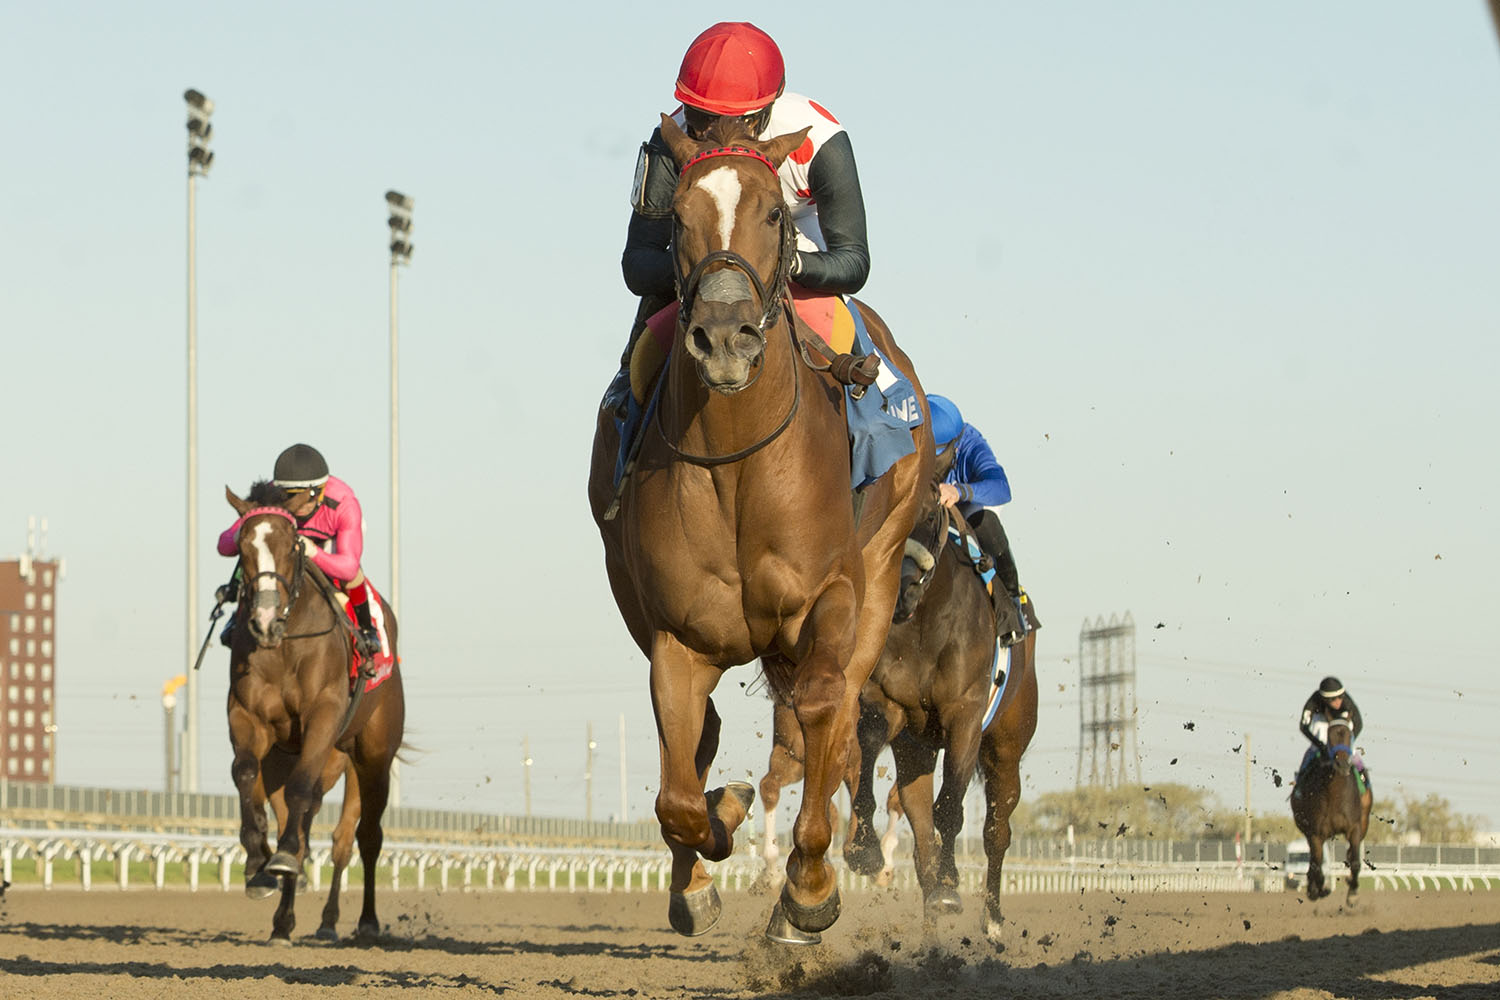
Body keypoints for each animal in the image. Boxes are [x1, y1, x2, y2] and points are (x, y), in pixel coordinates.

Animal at [222, 485, 405, 947]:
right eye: (242, 548)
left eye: (292, 546)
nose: (264, 621)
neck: (285, 645)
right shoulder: (246, 716)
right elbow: (246, 775)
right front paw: (258, 866)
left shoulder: (323, 716)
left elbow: (303, 794)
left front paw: (282, 860)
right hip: (286, 756)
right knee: (297, 819)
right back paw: (283, 922)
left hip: (372, 757)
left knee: (363, 836)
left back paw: (364, 922)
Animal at [588, 113, 930, 941]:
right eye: (677, 216)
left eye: (775, 214)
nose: (724, 337)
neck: (740, 457)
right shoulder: (678, 635)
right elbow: (679, 792)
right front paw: (715, 843)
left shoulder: (830, 598)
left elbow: (826, 714)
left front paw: (807, 891)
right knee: (700, 742)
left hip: (880, 575)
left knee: (837, 715)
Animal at [840, 491, 1038, 947]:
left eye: (931, 516)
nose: (899, 591)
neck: (925, 623)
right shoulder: (886, 706)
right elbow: (868, 752)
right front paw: (864, 849)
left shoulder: (965, 718)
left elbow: (951, 807)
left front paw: (950, 887)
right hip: (919, 754)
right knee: (922, 839)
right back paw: (931, 934)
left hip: (1006, 751)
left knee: (996, 834)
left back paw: (992, 920)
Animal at [1290, 716, 1374, 905]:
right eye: (1329, 736)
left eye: (1349, 734)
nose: (1342, 763)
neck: (1335, 793)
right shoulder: (1316, 832)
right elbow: (1318, 862)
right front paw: (1318, 889)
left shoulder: (1354, 827)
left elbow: (1355, 861)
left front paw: (1353, 893)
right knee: (1314, 860)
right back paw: (1314, 888)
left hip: (1364, 821)